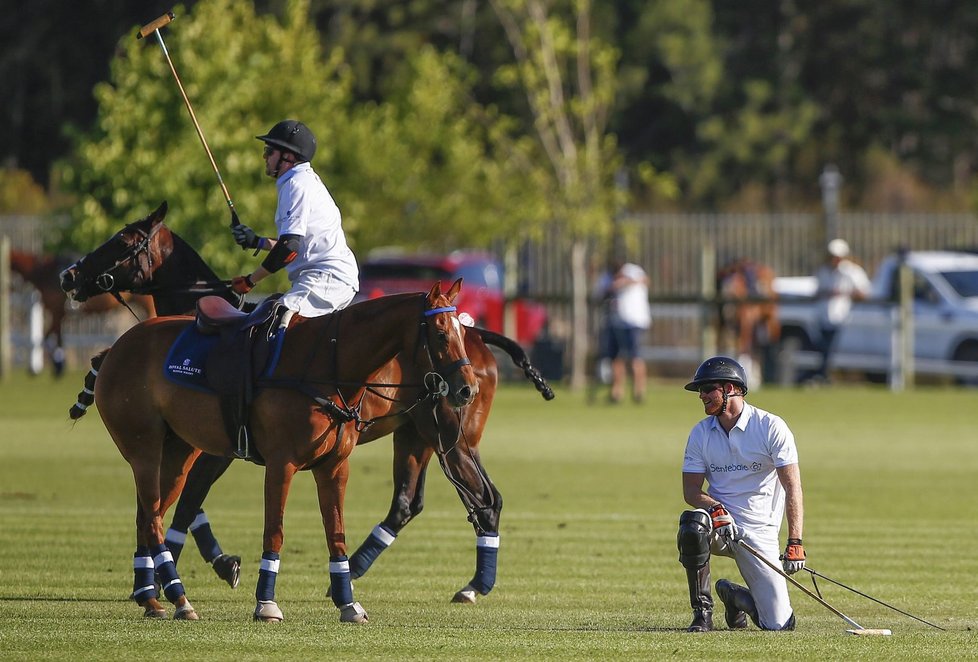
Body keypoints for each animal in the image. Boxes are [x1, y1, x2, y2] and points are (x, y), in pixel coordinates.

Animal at [7, 249, 153, 376]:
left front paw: (54, 367)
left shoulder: (56, 311)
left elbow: (48, 338)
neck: (42, 270)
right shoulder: (58, 314)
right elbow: (53, 337)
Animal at [90, 282, 476, 624]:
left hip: (180, 451)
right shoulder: (281, 464)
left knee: (147, 516)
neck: (330, 366)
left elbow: (336, 532)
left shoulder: (334, 467)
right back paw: (179, 598)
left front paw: (348, 605)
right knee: (153, 518)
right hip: (144, 449)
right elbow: (274, 530)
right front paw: (266, 605)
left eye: (463, 331)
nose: (468, 389)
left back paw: (153, 599)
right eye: (441, 334)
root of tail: (115, 348)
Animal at [708, 258, 776, 386]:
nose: (726, 309)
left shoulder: (745, 322)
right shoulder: (724, 324)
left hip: (763, 321)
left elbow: (744, 346)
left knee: (754, 345)